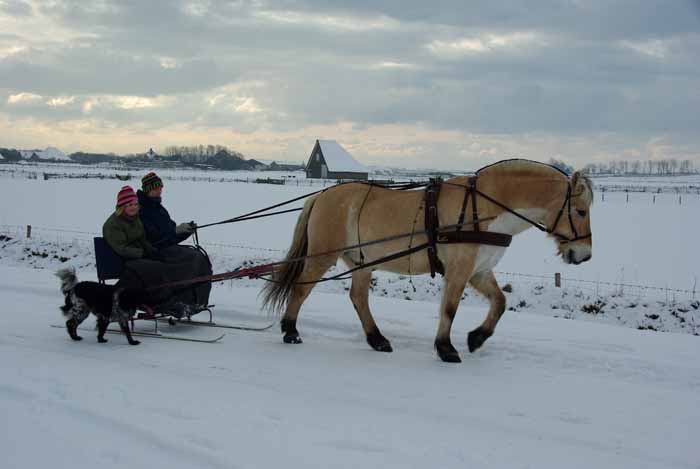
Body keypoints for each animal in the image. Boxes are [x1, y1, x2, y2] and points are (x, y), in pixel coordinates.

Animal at [262, 159, 594, 363]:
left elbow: (500, 303)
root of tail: (321, 196)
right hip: (323, 256)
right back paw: (290, 330)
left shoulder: (479, 270)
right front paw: (446, 348)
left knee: (358, 297)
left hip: (362, 260)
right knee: (302, 288)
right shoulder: (459, 270)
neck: (484, 207)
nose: (584, 255)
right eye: (579, 210)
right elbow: (449, 308)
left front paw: (476, 338)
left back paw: (377, 339)